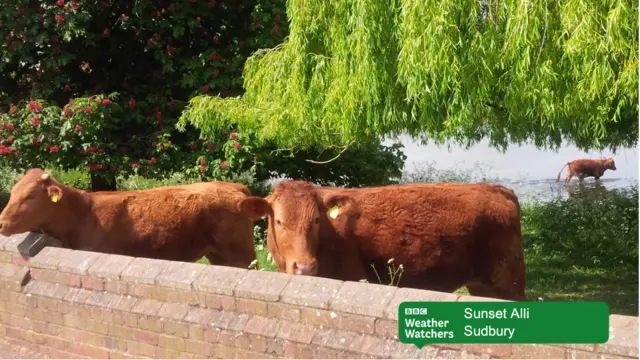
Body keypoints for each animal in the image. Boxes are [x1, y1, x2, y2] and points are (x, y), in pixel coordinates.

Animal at [0, 169, 255, 268]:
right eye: (12, 192)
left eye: (31, 195)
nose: (1, 222)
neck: (84, 214)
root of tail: (235, 187)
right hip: (218, 255)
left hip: (241, 255)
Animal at [238, 180, 528, 300]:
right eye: (278, 221)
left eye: (317, 220)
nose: (305, 267)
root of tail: (498, 189)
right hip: (483, 285)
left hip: (509, 282)